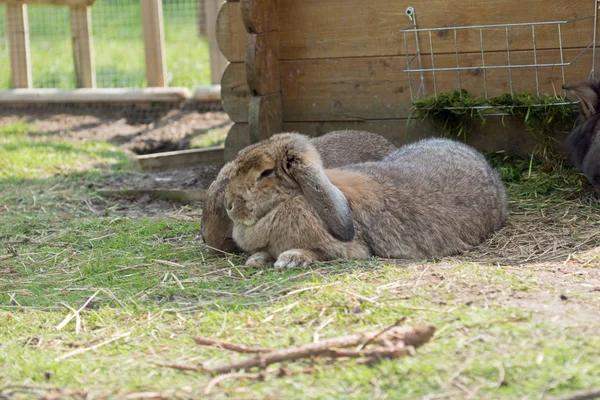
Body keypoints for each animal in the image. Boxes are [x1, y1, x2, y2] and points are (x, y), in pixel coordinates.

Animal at [224, 134, 506, 268]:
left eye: (265, 173)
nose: (228, 205)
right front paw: (256, 259)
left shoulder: (346, 249)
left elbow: (319, 253)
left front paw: (290, 259)